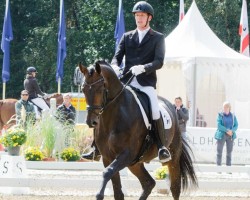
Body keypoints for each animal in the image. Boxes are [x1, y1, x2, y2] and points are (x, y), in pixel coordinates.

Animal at [79, 61, 198, 200]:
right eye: (83, 89)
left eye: (100, 89)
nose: (91, 122)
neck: (114, 115)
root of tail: (170, 105)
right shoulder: (108, 157)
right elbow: (117, 190)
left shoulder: (127, 154)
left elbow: (107, 172)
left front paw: (99, 194)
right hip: (135, 163)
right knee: (149, 183)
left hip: (172, 157)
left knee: (175, 187)